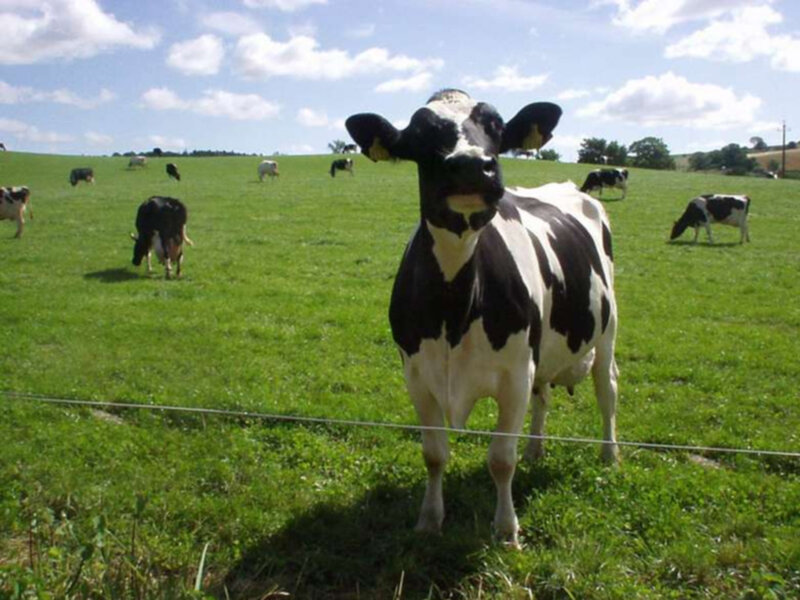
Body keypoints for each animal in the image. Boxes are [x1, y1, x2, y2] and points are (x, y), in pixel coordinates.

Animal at [346, 89, 619, 548]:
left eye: (497, 128)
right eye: (419, 134)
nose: (473, 164)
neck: (453, 311)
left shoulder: (514, 377)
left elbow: (501, 459)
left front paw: (507, 530)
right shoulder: (417, 376)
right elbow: (434, 454)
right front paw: (429, 519)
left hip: (607, 333)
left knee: (607, 390)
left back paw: (610, 454)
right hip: (543, 354)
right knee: (544, 396)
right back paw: (536, 449)